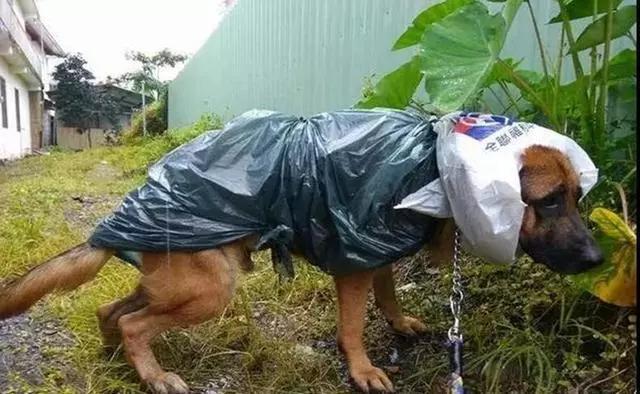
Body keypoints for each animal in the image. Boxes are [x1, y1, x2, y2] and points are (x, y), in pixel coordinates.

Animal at [0, 140, 600, 392]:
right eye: (548, 202)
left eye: (576, 196)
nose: (598, 258)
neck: (436, 162)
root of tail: (123, 215)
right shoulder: (353, 264)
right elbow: (353, 325)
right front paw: (361, 370)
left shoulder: (374, 251)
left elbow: (389, 294)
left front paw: (399, 324)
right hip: (210, 288)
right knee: (131, 322)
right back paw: (153, 375)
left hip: (179, 282)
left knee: (111, 310)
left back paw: (117, 361)